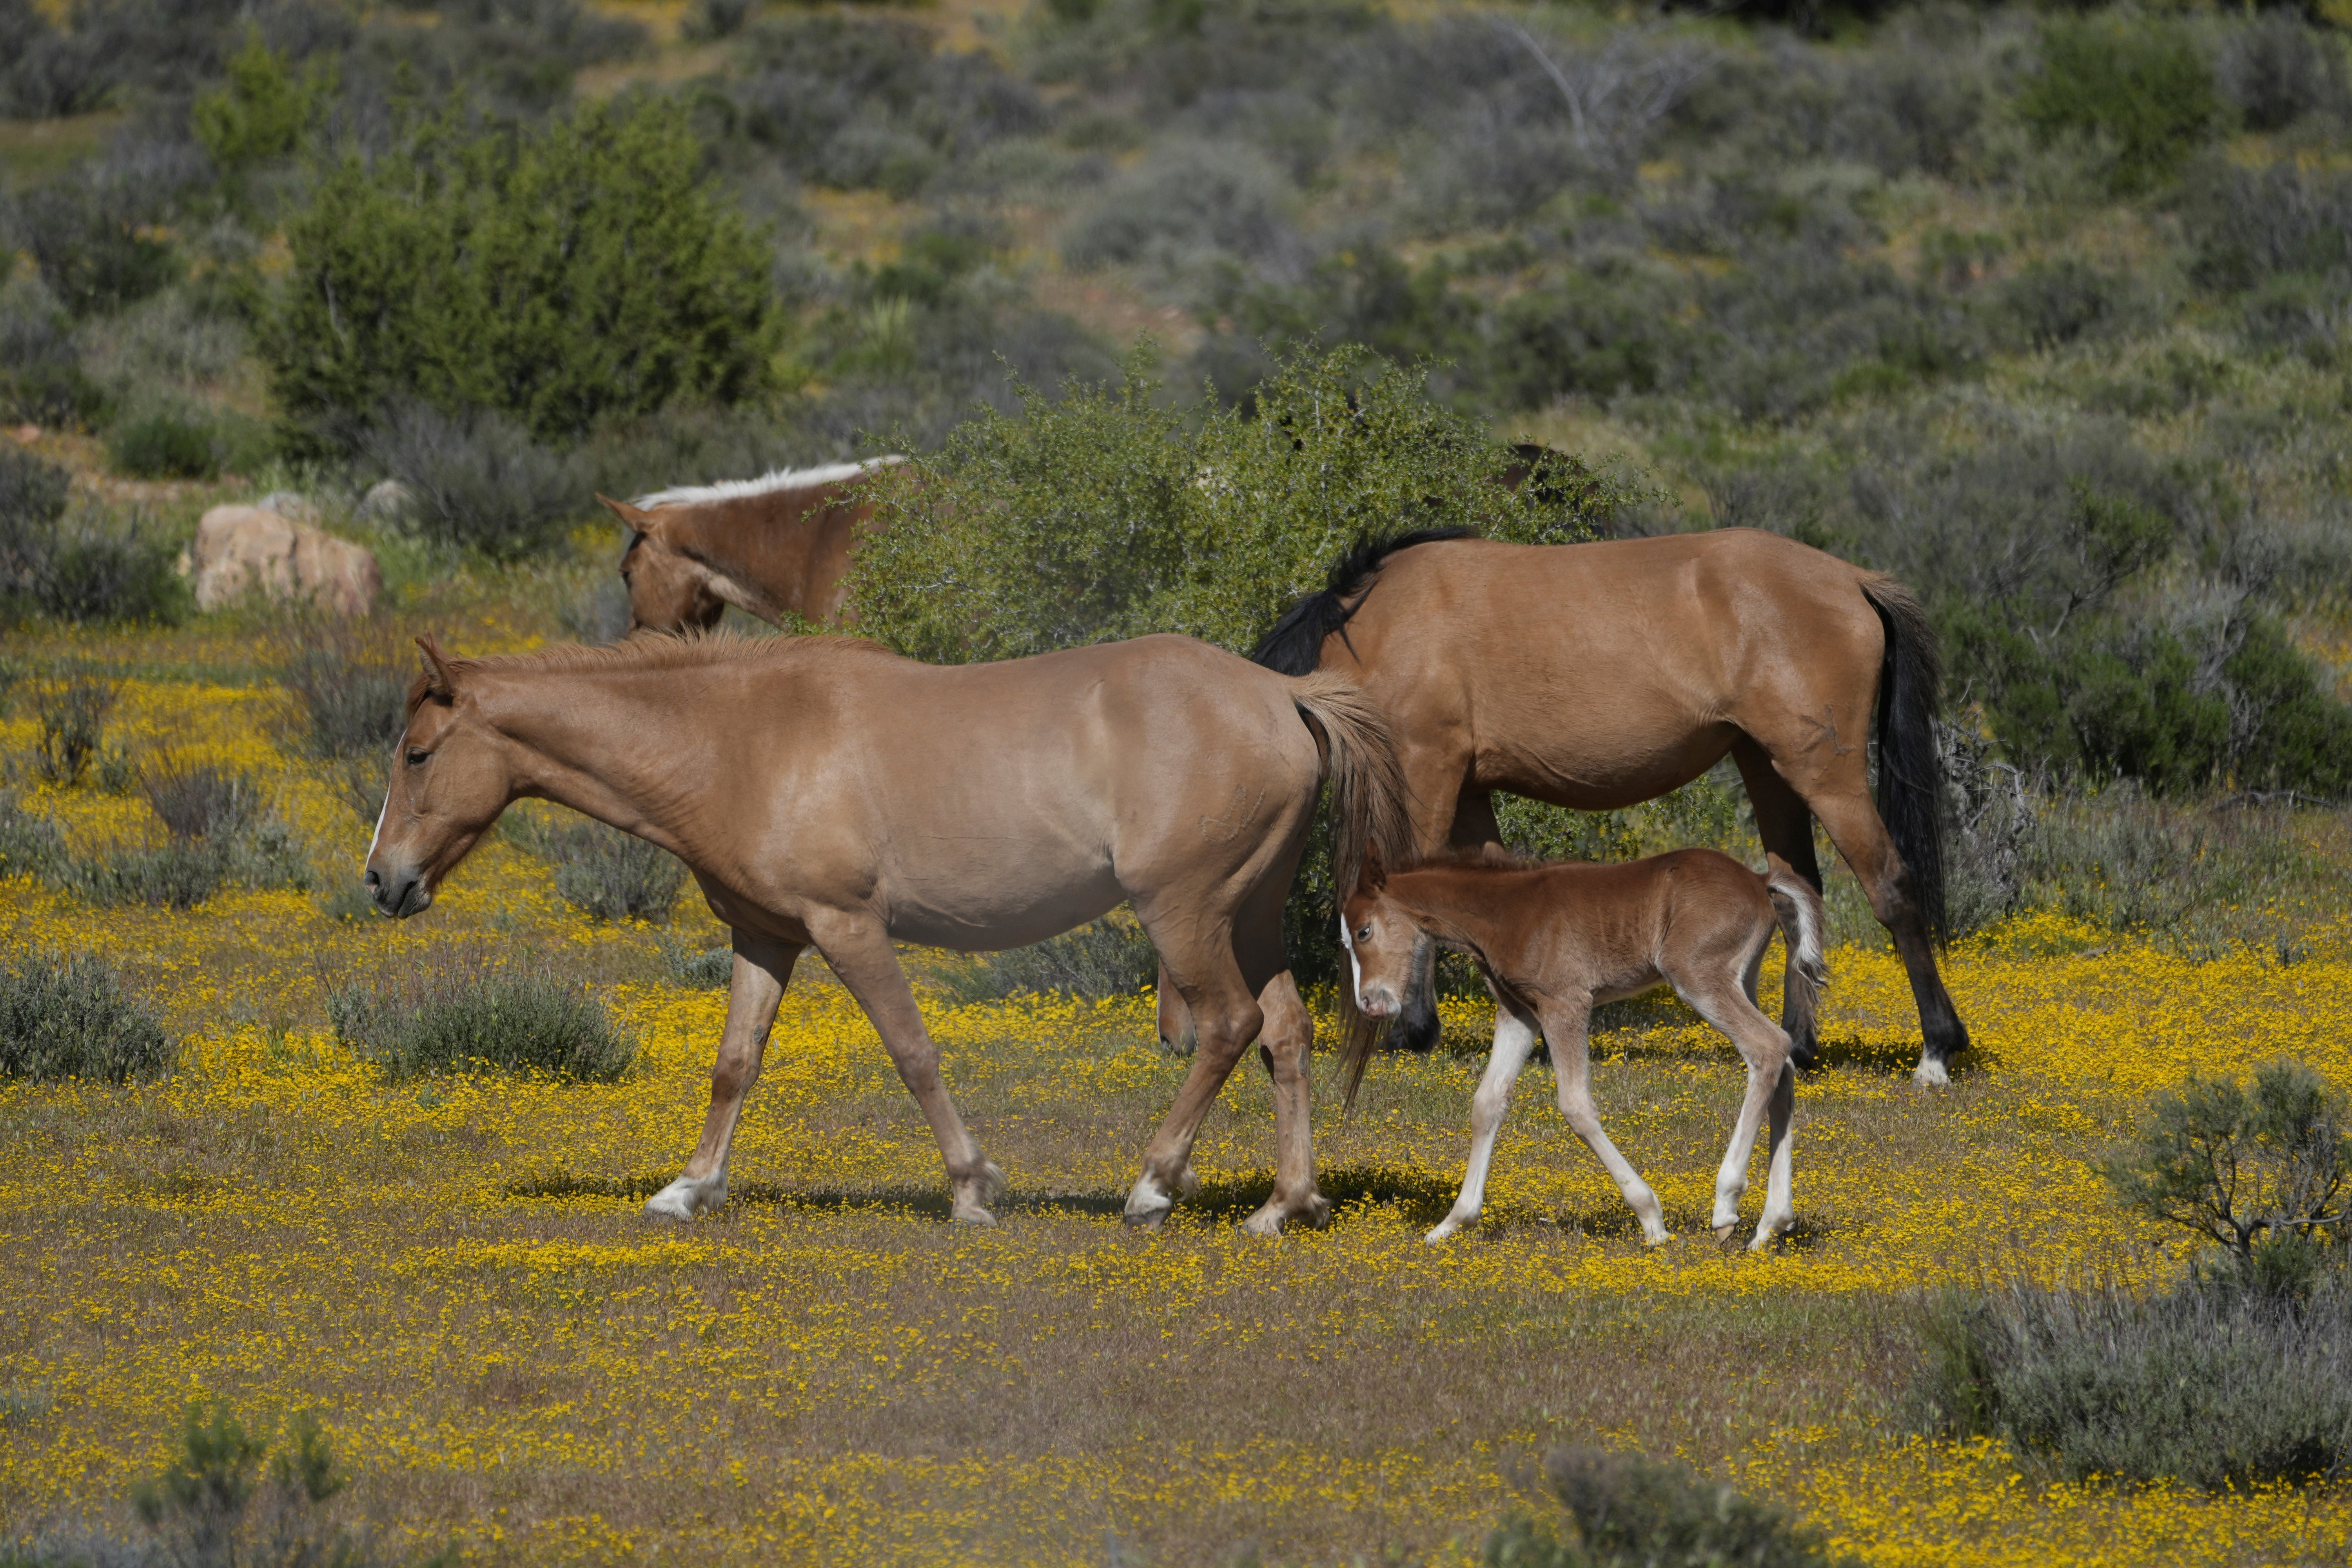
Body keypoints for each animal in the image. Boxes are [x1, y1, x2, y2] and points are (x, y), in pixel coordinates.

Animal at [358, 630, 1402, 1232]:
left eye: (419, 754)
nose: (381, 879)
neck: (741, 738)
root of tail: (1279, 694)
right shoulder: (767, 938)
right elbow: (735, 1063)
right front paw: (689, 1188)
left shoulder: (848, 927)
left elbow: (912, 1052)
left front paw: (972, 1187)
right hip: (1249, 914)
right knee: (1285, 1032)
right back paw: (1284, 1202)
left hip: (1183, 912)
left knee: (1228, 1026)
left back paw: (1151, 1185)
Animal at [1251, 526, 1966, 1091]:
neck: (1378, 626)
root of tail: (1853, 580)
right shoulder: (1472, 792)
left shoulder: (1427, 769)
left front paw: (1413, 1032)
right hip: (1768, 767)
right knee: (1800, 892)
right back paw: (1802, 1044)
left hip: (1825, 775)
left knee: (1891, 888)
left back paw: (1937, 1049)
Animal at [1345, 846, 1816, 1250]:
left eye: (1364, 931)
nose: (1368, 1003)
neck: (1504, 913)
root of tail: (1759, 879)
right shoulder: (1520, 1013)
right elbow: (1487, 1103)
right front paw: (1452, 1223)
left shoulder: (1565, 1002)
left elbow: (1576, 1106)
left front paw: (1652, 1221)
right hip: (1741, 979)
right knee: (1784, 1063)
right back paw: (1770, 1225)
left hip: (1698, 976)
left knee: (1769, 1048)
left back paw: (1726, 1205)